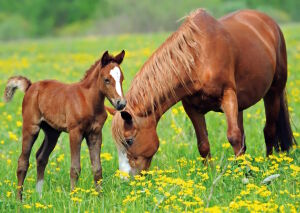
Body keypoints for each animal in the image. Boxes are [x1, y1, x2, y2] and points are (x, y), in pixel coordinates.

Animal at [4, 50, 126, 200]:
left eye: (122, 79)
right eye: (106, 79)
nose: (121, 103)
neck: (88, 101)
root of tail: (30, 87)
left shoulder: (95, 133)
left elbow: (97, 168)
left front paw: (100, 197)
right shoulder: (75, 132)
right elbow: (75, 168)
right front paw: (73, 197)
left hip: (52, 132)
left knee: (41, 157)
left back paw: (39, 196)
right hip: (31, 127)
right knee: (23, 161)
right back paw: (19, 200)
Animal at [109, 9, 296, 176]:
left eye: (129, 140)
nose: (126, 178)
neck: (199, 58)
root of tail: (270, 23)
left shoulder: (228, 96)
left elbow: (233, 136)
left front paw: (243, 174)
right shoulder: (192, 108)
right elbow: (204, 144)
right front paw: (210, 174)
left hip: (274, 91)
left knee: (269, 130)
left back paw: (270, 164)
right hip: (241, 104)